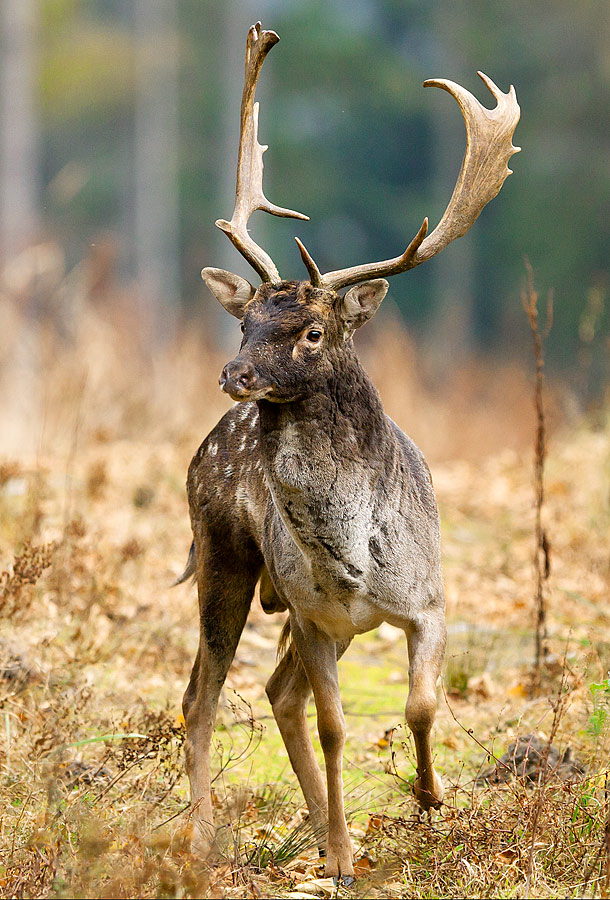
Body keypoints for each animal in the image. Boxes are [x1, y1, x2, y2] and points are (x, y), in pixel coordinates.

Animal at [180, 22, 519, 882]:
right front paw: (339, 855)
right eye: (245, 321)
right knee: (205, 695)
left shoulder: (429, 600)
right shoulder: (314, 615)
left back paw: (306, 820)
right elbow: (336, 728)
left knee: (274, 694)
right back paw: (207, 836)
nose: (234, 374)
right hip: (226, 558)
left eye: (311, 330)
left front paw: (430, 799)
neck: (359, 558)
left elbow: (422, 703)